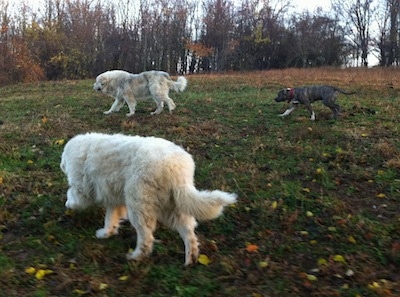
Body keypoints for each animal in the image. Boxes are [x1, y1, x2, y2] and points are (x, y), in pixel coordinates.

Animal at [60, 132, 238, 264]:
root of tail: (176, 168)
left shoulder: (81, 186)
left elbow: (75, 197)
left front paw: (69, 203)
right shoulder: (114, 198)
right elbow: (110, 217)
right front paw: (106, 232)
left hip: (140, 203)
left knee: (146, 237)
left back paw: (136, 256)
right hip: (172, 204)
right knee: (188, 230)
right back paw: (191, 258)